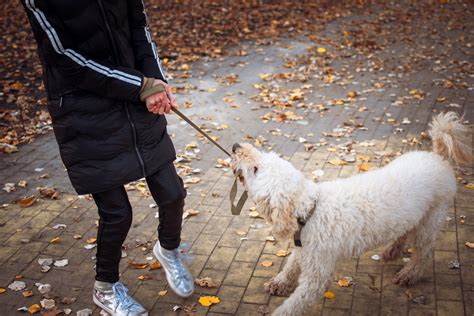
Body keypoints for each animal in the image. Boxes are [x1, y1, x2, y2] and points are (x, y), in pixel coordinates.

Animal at [230, 112, 470, 314]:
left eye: (256, 169)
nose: (234, 146)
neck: (310, 212)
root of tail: (438, 157)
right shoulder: (304, 250)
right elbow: (291, 266)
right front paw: (280, 283)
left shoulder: (317, 273)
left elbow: (295, 303)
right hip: (411, 216)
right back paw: (391, 251)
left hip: (431, 219)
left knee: (423, 253)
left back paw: (408, 274)